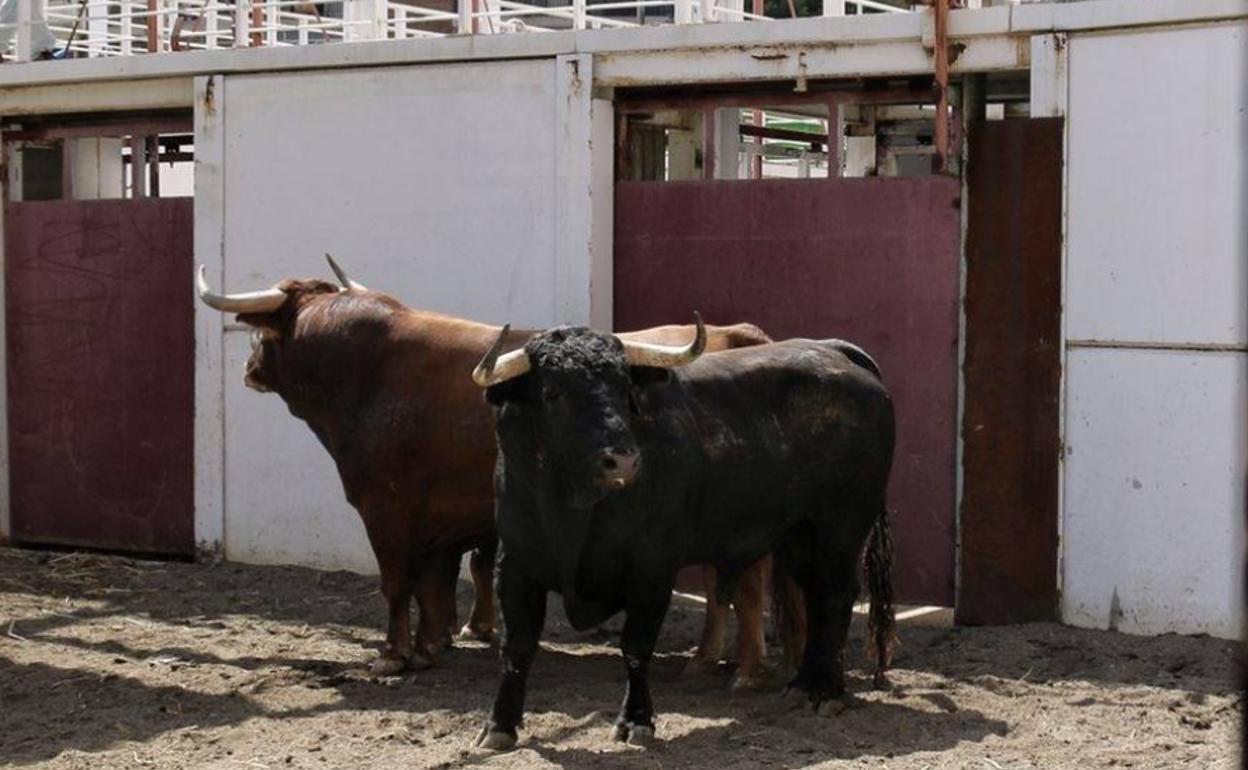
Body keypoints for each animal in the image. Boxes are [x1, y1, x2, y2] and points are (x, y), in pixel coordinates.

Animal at [194, 257, 778, 683]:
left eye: (263, 334)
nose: (248, 368)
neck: (372, 371)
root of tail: (739, 335)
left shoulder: (386, 509)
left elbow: (396, 582)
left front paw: (392, 655)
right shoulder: (442, 520)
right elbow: (434, 583)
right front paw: (431, 646)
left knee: (745, 582)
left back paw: (745, 669)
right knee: (729, 582)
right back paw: (710, 659)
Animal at [474, 321, 898, 748]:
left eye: (625, 389)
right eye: (552, 392)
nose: (623, 460)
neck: (575, 510)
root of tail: (835, 351)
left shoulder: (651, 570)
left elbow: (636, 645)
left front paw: (636, 721)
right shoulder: (514, 567)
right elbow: (517, 647)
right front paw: (498, 726)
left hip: (840, 527)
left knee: (835, 595)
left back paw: (826, 692)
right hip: (799, 535)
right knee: (816, 596)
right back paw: (803, 684)